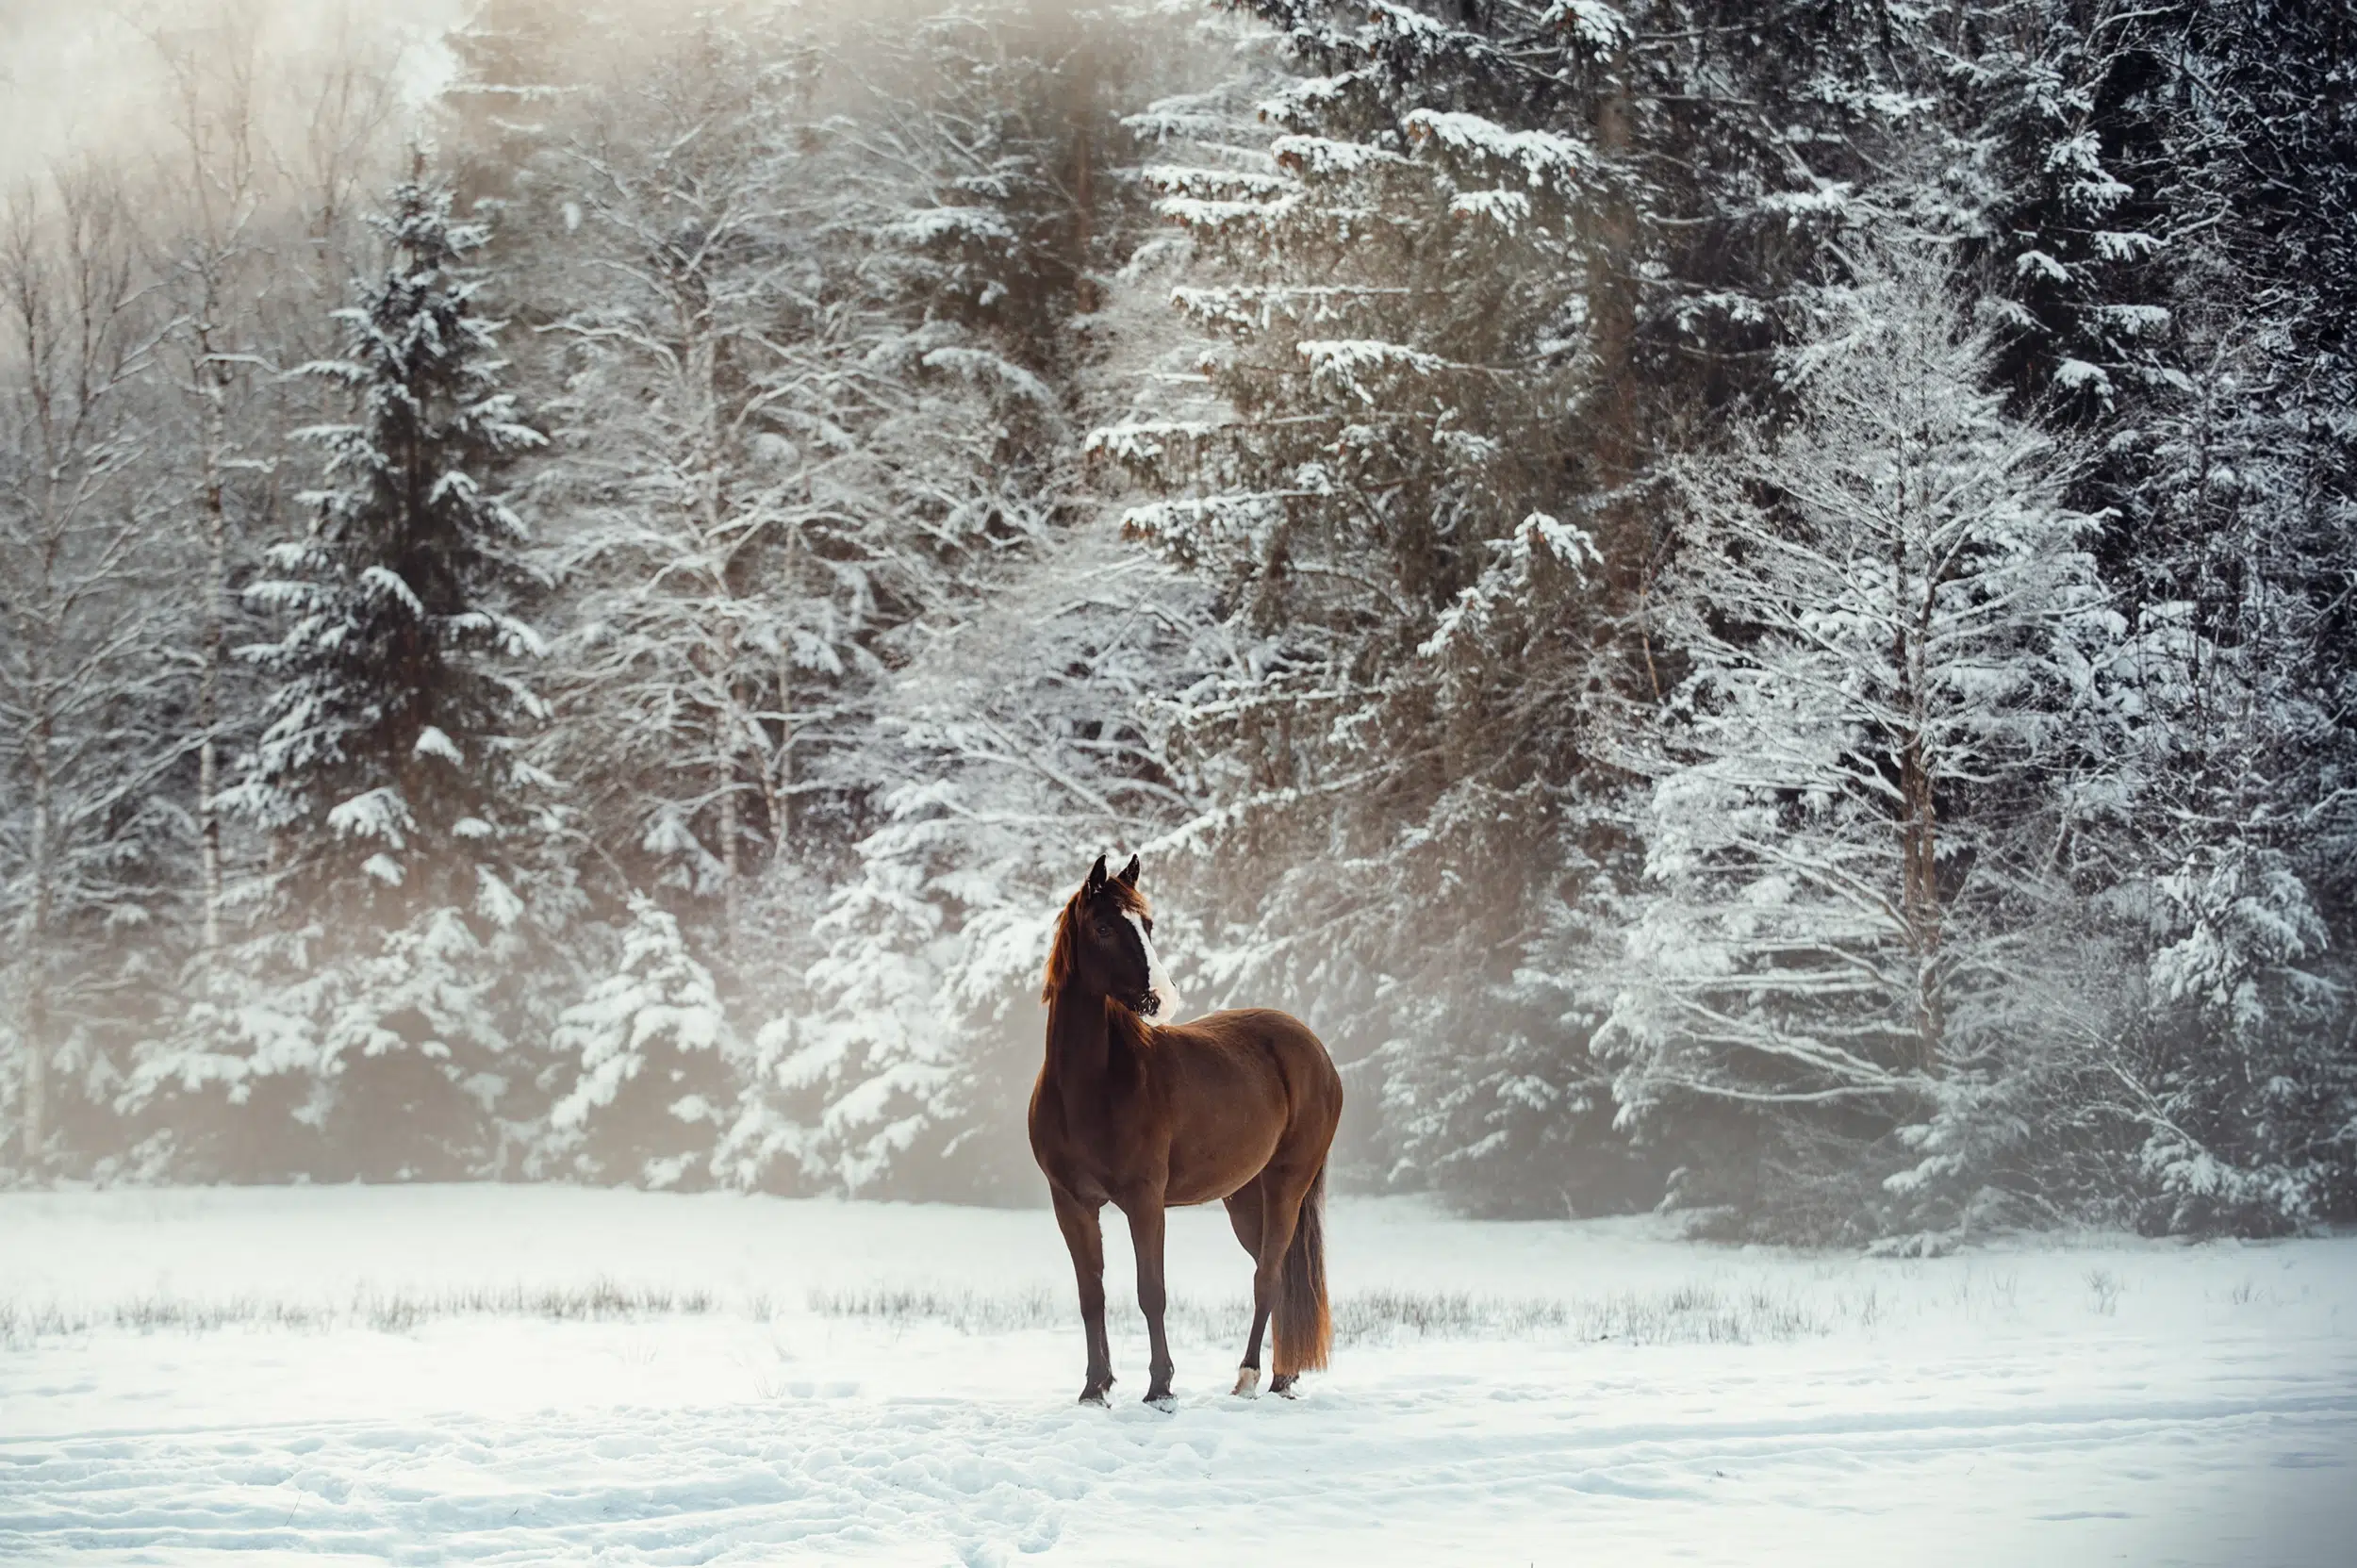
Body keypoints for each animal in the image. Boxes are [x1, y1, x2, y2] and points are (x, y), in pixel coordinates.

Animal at [1032, 858, 1348, 1405]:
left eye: (1148, 925)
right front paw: (1095, 1388)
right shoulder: (1070, 1203)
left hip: (1286, 1185)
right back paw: (1283, 1377)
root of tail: (1314, 1049)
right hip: (1245, 1199)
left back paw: (1249, 1377)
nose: (1160, 998)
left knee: (1268, 1277)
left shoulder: (1145, 1200)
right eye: (1103, 927)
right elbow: (1092, 1295)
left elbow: (1151, 1293)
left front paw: (1160, 1388)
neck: (1089, 1086)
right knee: (1280, 1277)